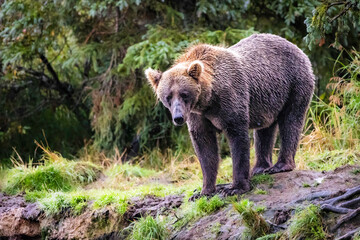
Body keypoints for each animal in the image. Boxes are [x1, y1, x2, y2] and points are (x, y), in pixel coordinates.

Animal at [145, 34, 314, 199]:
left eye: (184, 94)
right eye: (168, 97)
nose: (178, 117)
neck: (208, 100)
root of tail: (297, 47)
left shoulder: (231, 100)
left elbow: (238, 139)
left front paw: (235, 188)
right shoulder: (196, 115)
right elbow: (205, 147)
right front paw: (203, 191)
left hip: (294, 83)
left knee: (291, 120)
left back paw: (281, 165)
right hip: (268, 99)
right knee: (265, 130)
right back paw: (260, 168)